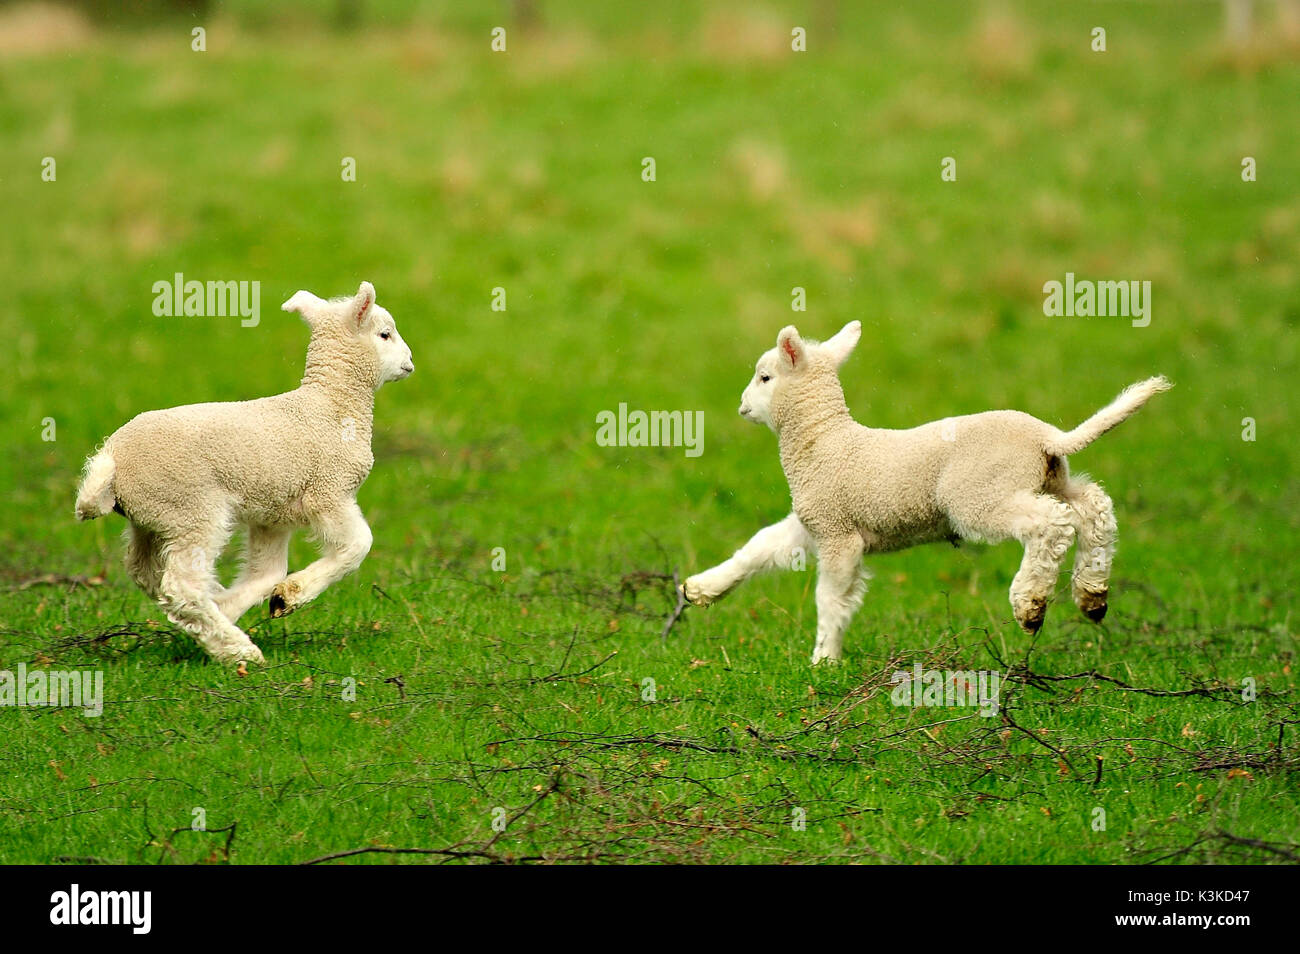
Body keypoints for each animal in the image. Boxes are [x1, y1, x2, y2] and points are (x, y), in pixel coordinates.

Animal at [72, 282, 416, 665]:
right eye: (384, 334)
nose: (410, 362)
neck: (330, 406)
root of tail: (112, 459)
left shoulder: (274, 515)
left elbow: (265, 574)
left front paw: (261, 601)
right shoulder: (328, 491)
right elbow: (358, 545)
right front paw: (293, 595)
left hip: (152, 517)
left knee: (145, 573)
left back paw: (212, 625)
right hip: (192, 508)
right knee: (181, 586)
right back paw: (238, 650)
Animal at [681, 321, 1170, 665]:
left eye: (765, 377)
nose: (742, 406)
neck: (825, 441)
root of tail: (1049, 437)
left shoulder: (839, 534)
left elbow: (831, 598)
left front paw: (824, 659)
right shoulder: (814, 522)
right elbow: (758, 547)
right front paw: (701, 589)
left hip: (981, 495)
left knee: (1050, 523)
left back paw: (1030, 602)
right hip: (1052, 478)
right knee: (1094, 508)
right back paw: (1092, 594)